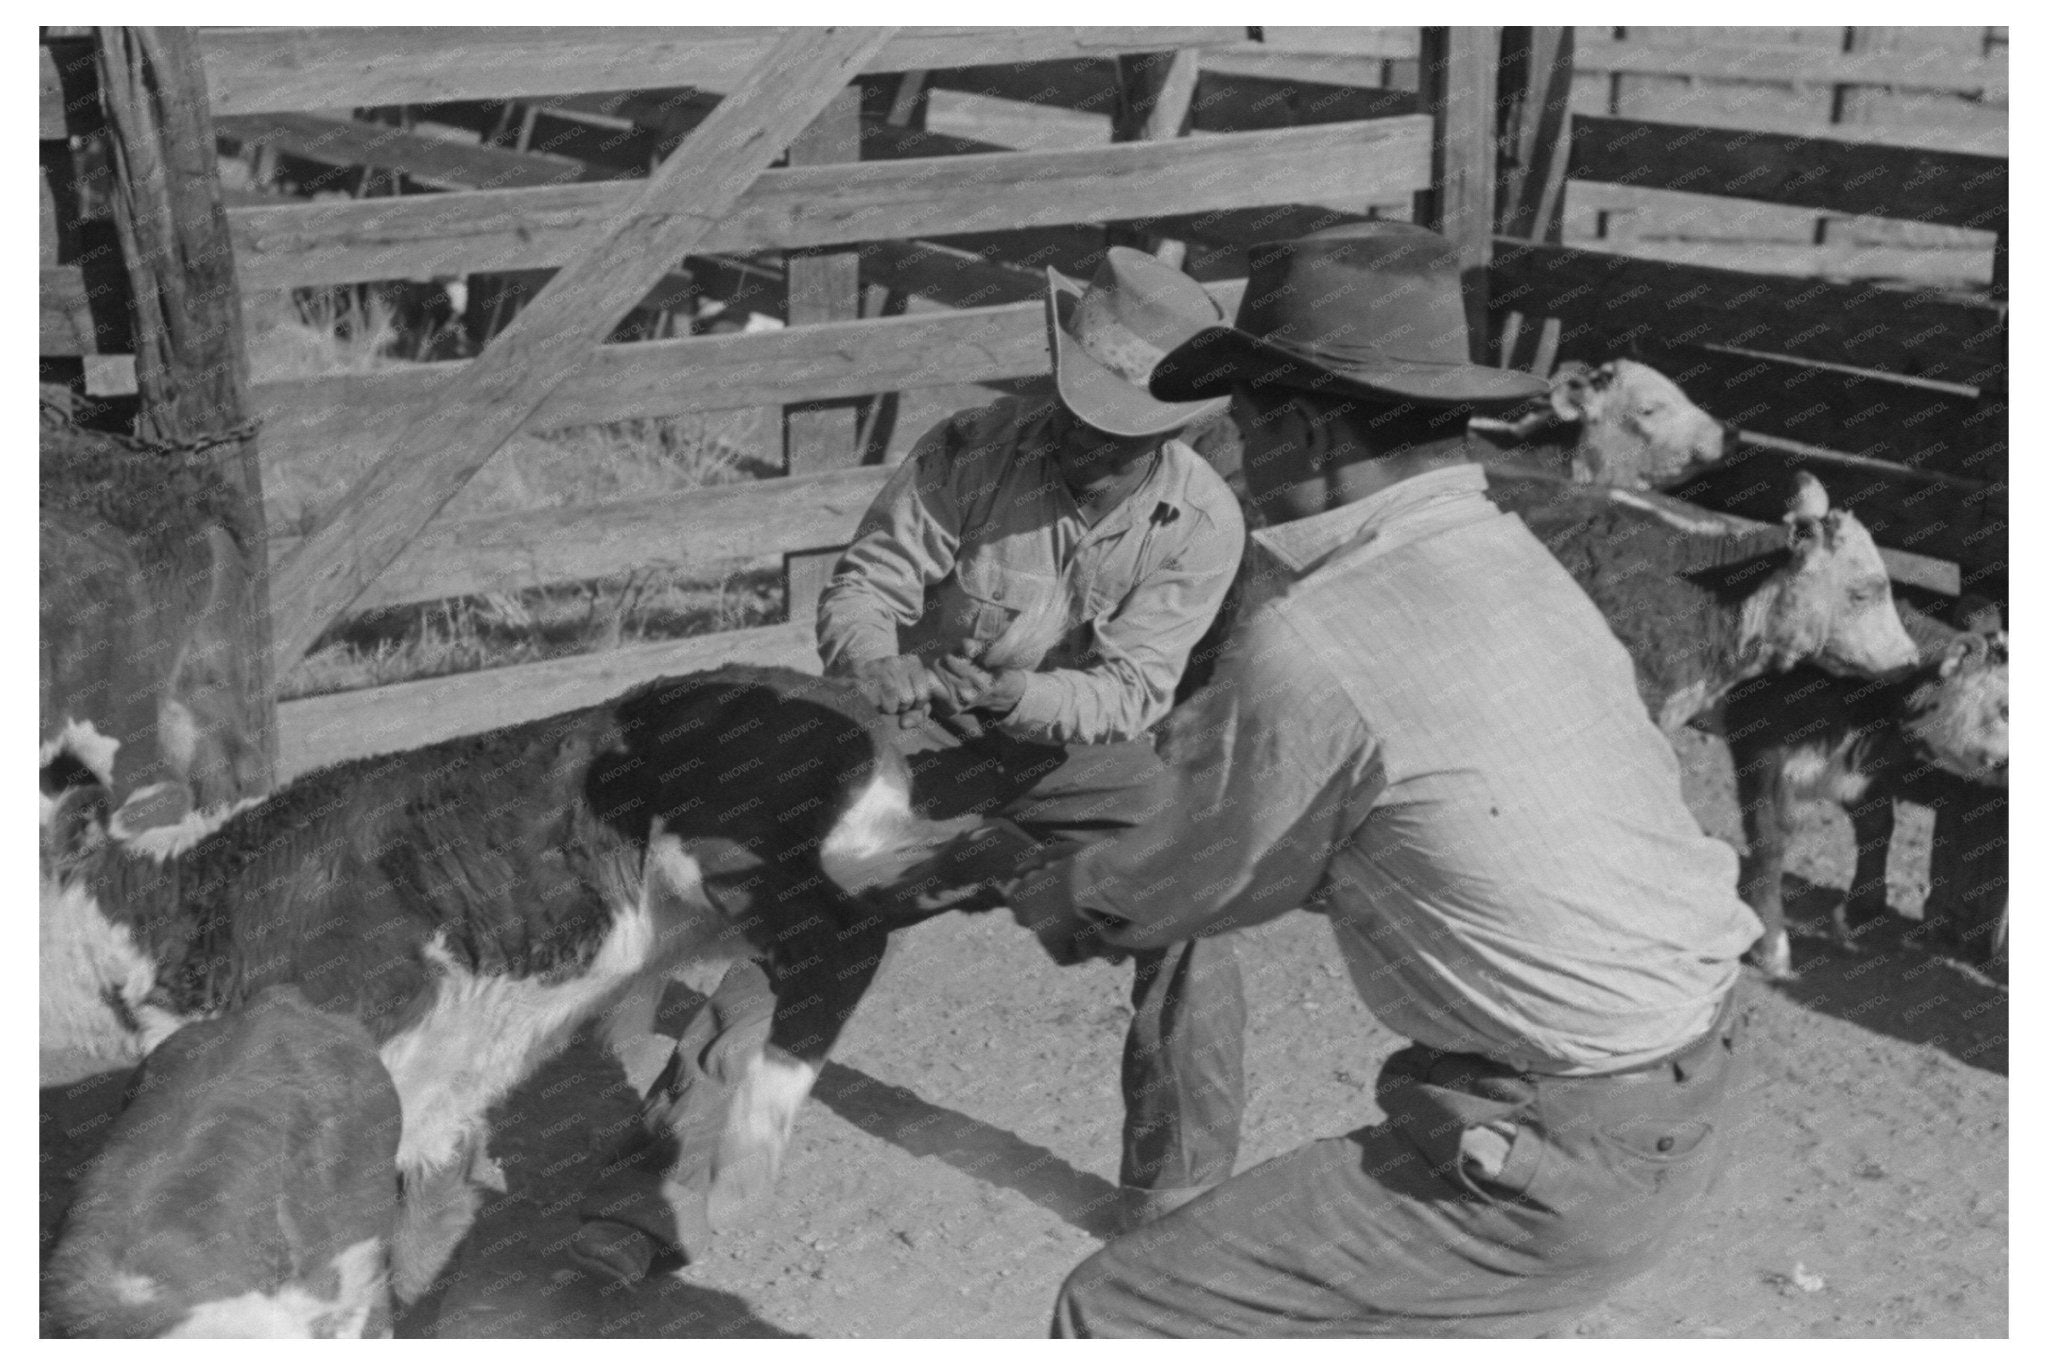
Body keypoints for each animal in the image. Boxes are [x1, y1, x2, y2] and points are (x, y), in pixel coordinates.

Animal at [1720, 626, 2007, 978]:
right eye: (2007, 710)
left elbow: (1877, 826)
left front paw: (1861, 908)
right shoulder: (1764, 754)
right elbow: (1770, 842)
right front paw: (1771, 951)